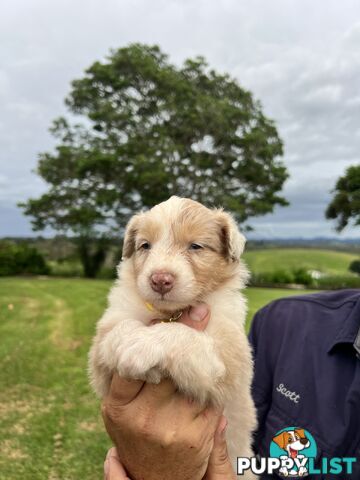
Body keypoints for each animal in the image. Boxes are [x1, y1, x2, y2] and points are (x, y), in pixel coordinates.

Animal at [89, 195, 258, 476]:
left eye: (196, 246)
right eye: (145, 245)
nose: (160, 280)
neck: (171, 312)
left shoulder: (231, 361)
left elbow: (183, 333)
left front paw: (141, 346)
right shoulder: (101, 349)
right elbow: (120, 328)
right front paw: (131, 343)